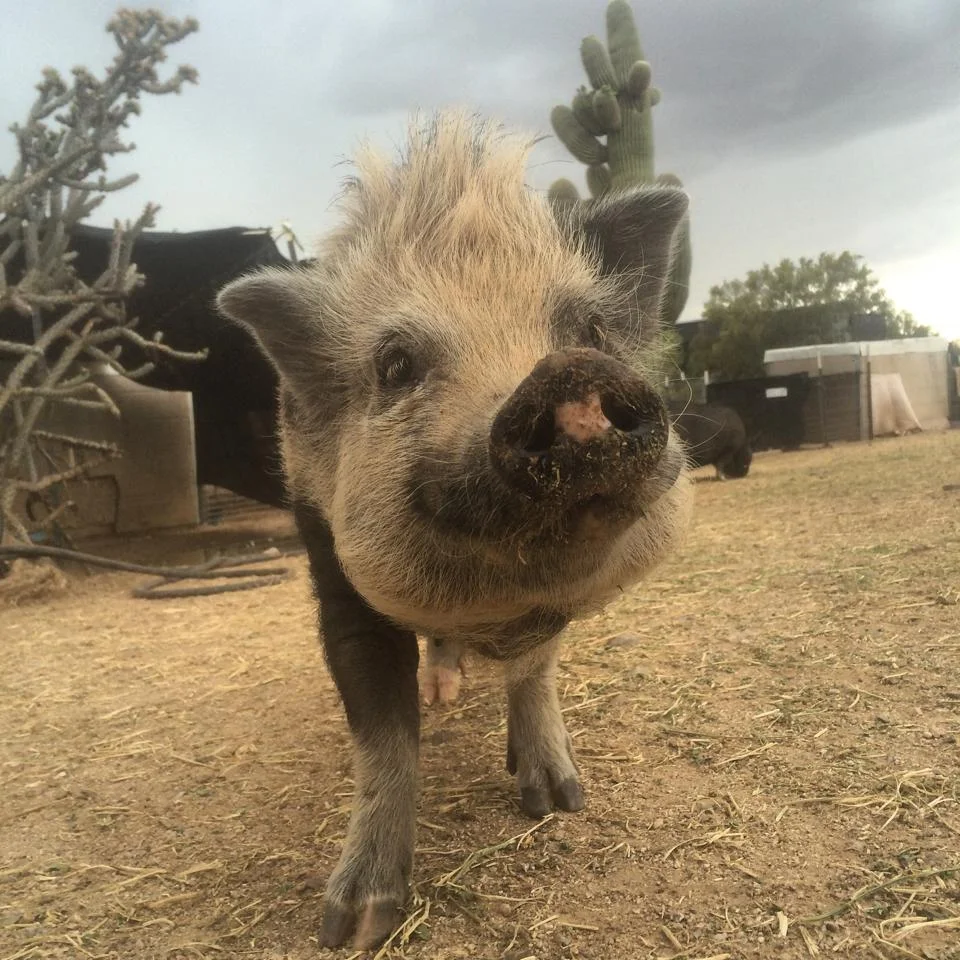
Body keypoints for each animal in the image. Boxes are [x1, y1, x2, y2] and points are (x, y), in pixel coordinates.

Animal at [216, 112, 692, 950]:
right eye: (396, 364)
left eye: (591, 328)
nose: (565, 375)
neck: (499, 601)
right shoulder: (334, 577)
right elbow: (383, 734)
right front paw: (353, 927)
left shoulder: (552, 611)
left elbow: (535, 672)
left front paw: (557, 802)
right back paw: (441, 690)